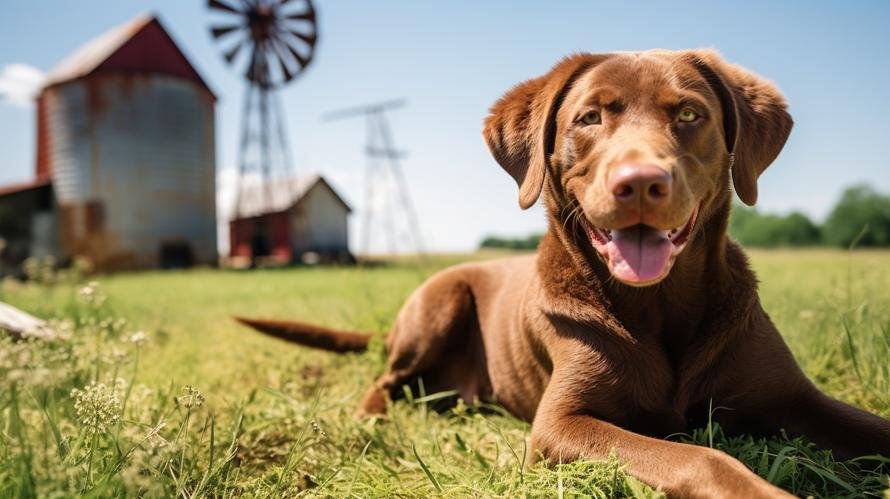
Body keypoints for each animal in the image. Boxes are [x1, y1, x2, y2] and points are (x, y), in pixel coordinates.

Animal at [234, 49, 888, 496]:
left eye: (689, 113)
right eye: (589, 117)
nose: (639, 183)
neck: (659, 307)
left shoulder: (797, 398)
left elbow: (873, 427)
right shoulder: (561, 424)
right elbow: (699, 456)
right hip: (437, 303)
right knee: (385, 379)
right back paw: (369, 421)